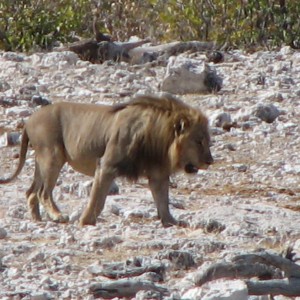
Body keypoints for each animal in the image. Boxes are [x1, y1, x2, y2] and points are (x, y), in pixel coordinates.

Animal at [1, 94, 214, 227]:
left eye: (207, 140)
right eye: (199, 141)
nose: (210, 161)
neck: (159, 137)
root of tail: (29, 121)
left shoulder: (158, 174)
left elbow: (163, 200)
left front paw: (170, 221)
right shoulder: (106, 165)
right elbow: (97, 198)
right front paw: (86, 221)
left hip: (42, 160)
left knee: (31, 192)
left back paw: (37, 219)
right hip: (52, 156)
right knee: (43, 192)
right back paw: (57, 216)